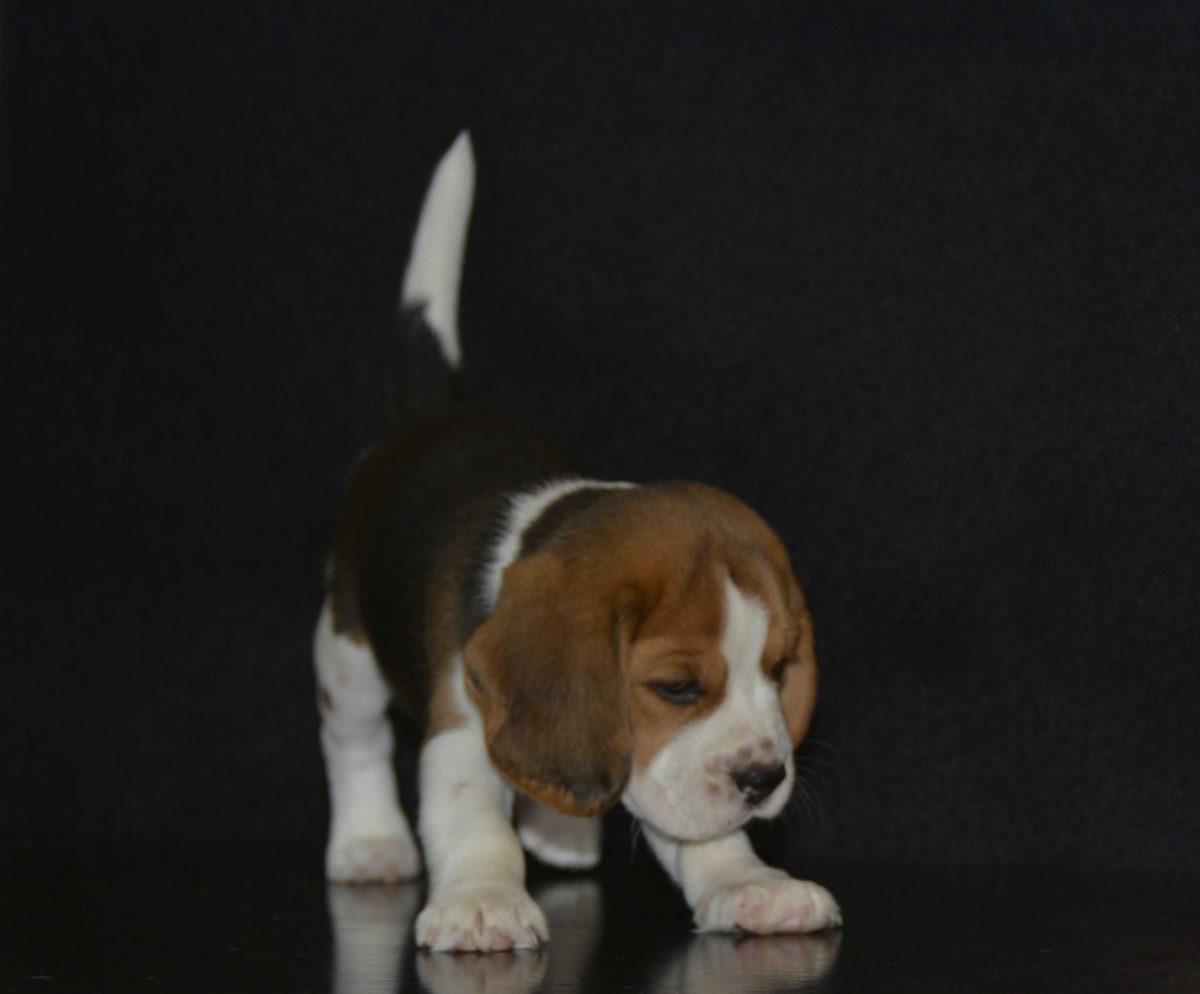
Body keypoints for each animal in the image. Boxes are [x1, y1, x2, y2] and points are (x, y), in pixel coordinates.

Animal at [314, 132, 841, 952]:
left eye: (780, 668)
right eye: (676, 687)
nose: (764, 778)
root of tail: (423, 420)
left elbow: (707, 837)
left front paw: (750, 884)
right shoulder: (462, 723)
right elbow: (476, 822)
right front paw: (482, 900)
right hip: (346, 649)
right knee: (356, 741)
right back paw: (369, 843)